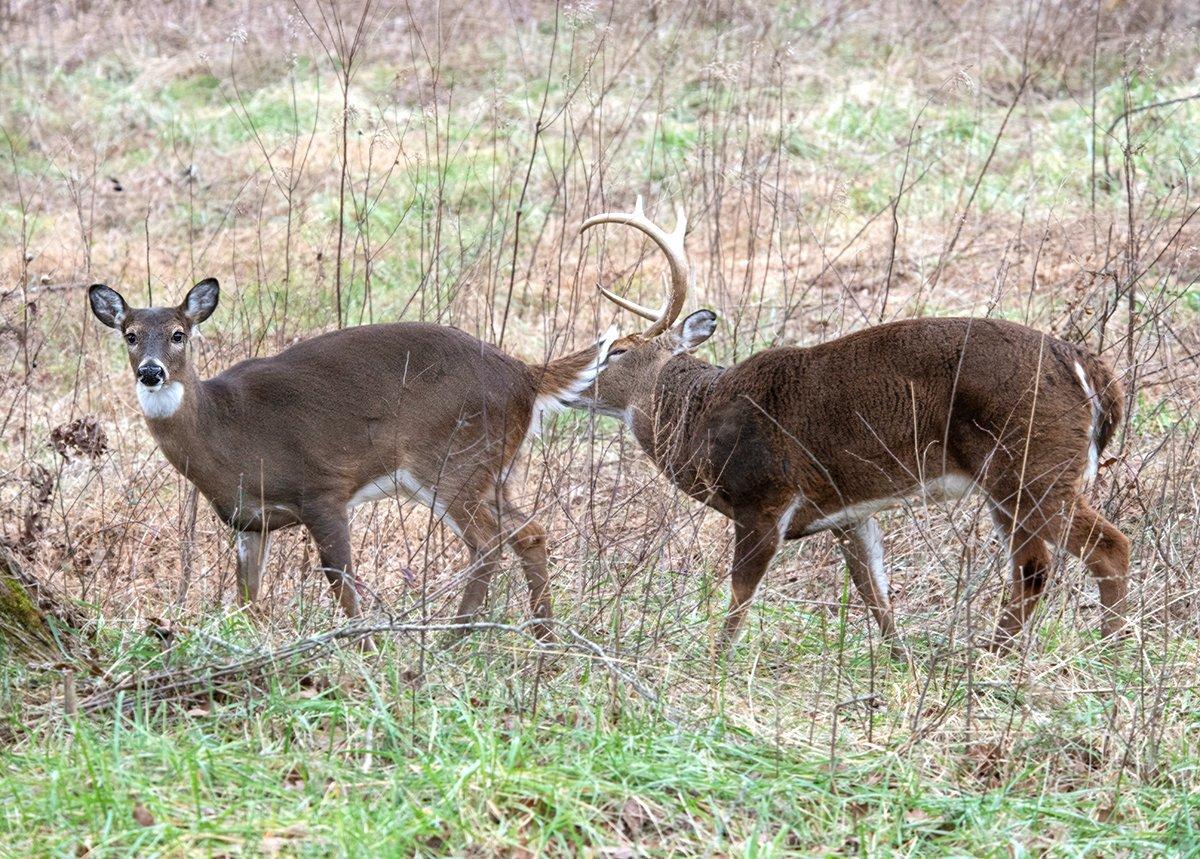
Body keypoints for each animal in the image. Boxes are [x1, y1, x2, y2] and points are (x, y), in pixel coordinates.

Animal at [87, 278, 609, 633]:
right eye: (130, 334)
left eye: (179, 333)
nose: (151, 372)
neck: (225, 429)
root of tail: (526, 376)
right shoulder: (249, 520)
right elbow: (247, 594)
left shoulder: (323, 487)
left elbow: (341, 578)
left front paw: (365, 646)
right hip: (492, 469)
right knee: (530, 532)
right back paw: (544, 638)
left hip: (451, 458)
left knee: (489, 543)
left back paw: (453, 639)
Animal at [566, 199, 1128, 657]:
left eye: (616, 350)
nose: (567, 383)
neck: (702, 420)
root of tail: (1086, 366)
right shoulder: (847, 512)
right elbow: (874, 593)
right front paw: (902, 660)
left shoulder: (763, 496)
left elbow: (741, 594)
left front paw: (713, 663)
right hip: (1018, 479)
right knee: (1043, 564)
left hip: (1033, 467)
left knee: (1092, 552)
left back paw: (1081, 649)